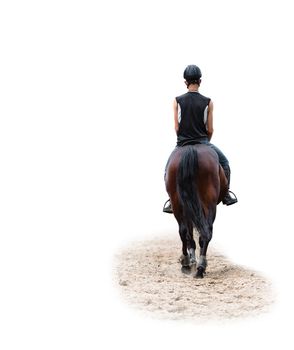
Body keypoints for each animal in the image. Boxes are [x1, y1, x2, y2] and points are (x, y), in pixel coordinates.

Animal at [165, 144, 227, 278]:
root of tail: (191, 148)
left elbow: (189, 234)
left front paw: (192, 259)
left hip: (177, 202)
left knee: (183, 231)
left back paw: (186, 263)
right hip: (208, 202)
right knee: (206, 231)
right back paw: (200, 267)